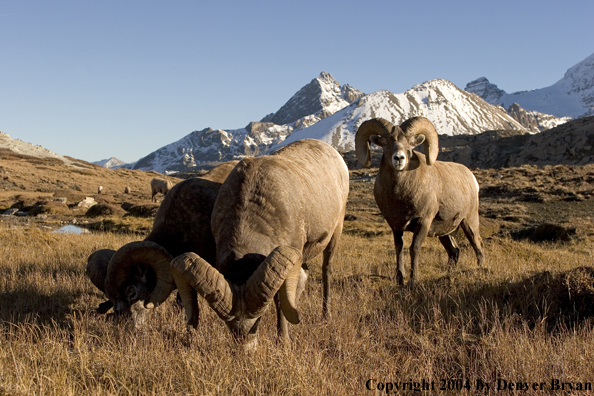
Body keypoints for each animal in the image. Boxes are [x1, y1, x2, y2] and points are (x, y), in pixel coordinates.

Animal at [170, 139, 346, 346]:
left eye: (259, 317)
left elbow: (280, 301)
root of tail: (333, 152)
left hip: (335, 233)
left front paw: (283, 340)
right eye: (227, 322)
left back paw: (326, 315)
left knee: (326, 270)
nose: (245, 348)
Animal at [354, 116, 484, 286]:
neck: (400, 196)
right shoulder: (395, 226)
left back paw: (481, 270)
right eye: (386, 142)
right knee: (454, 251)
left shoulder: (423, 221)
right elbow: (399, 249)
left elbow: (414, 248)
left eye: (410, 143)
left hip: (469, 221)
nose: (399, 158)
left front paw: (413, 279)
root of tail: (471, 177)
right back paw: (447, 275)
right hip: (444, 232)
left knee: (477, 245)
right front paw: (400, 279)